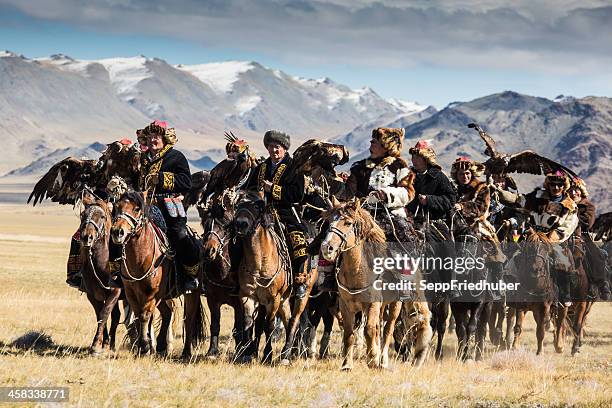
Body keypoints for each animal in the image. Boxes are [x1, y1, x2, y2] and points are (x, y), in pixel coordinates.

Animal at [79, 198, 122, 354]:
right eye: (83, 214)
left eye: (102, 216)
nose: (87, 237)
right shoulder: (92, 295)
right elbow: (100, 316)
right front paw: (103, 344)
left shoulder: (115, 292)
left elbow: (104, 314)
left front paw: (96, 345)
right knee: (116, 316)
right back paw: (112, 345)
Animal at [110, 193, 206, 356]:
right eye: (117, 206)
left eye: (137, 209)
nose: (118, 232)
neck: (141, 257)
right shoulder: (131, 293)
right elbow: (138, 315)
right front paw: (143, 346)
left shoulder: (152, 293)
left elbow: (144, 315)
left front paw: (144, 346)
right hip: (164, 296)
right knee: (168, 313)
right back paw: (161, 346)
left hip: (192, 292)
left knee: (189, 318)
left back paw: (186, 352)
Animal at [320, 198, 402, 370]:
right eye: (330, 220)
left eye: (348, 223)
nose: (326, 247)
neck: (358, 270)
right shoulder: (346, 305)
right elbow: (349, 334)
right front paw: (347, 365)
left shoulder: (372, 304)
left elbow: (370, 330)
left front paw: (372, 360)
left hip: (395, 305)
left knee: (387, 329)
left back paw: (383, 361)